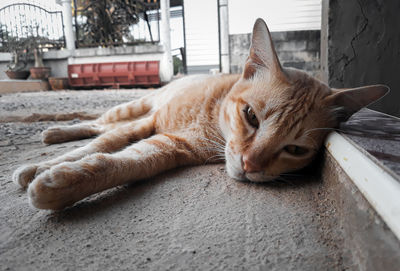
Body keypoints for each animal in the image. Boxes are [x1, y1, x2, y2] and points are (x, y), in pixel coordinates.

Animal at [12, 19, 388, 210]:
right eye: (251, 116)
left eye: (295, 149)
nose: (250, 165)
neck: (210, 117)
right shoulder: (149, 123)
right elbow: (99, 147)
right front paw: (42, 167)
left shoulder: (168, 146)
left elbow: (122, 161)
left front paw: (62, 182)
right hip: (133, 107)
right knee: (98, 123)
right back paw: (55, 132)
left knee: (102, 127)